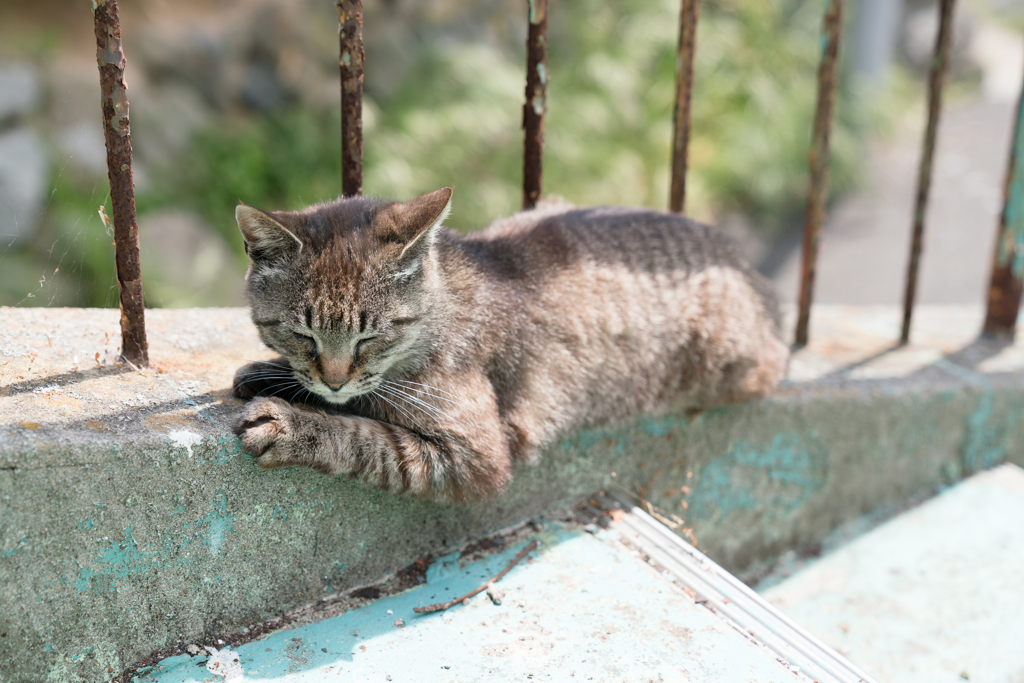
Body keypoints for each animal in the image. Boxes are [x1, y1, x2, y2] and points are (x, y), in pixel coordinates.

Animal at [234, 187, 790, 501]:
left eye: (371, 334)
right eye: (301, 332)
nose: (332, 378)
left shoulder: (477, 454)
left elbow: (362, 435)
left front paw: (292, 424)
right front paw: (272, 373)